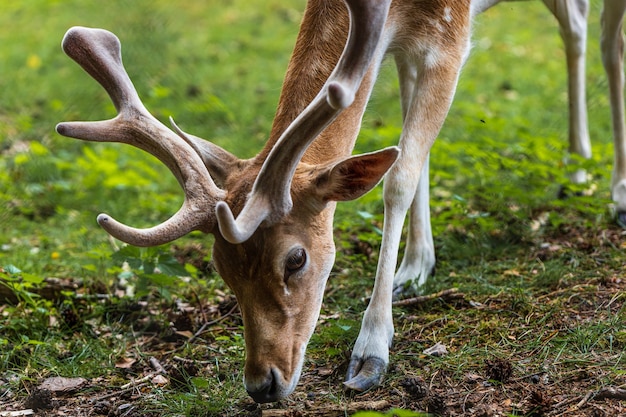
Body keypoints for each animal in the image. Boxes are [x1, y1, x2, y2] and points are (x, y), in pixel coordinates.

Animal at [56, 0, 620, 404]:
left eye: (295, 259)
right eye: (222, 269)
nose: (263, 385)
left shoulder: (448, 36)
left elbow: (398, 177)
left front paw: (371, 353)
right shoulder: (405, 43)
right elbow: (411, 154)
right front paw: (417, 266)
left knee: (606, 35)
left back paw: (616, 192)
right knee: (574, 21)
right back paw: (576, 164)